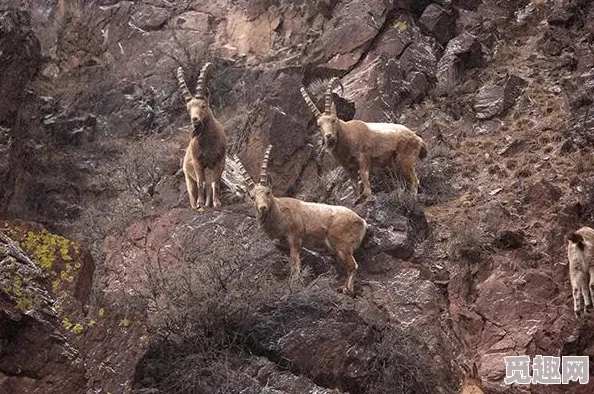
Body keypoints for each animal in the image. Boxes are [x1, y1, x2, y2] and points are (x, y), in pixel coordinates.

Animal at [175, 62, 225, 208]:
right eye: (188, 108)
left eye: (203, 105)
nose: (195, 119)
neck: (208, 143)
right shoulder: (198, 163)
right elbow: (200, 183)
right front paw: (200, 203)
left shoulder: (219, 162)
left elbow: (216, 183)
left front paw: (217, 203)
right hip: (188, 180)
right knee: (195, 189)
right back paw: (197, 204)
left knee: (210, 186)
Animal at [232, 145, 366, 292]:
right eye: (252, 197)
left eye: (268, 192)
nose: (262, 208)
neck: (280, 214)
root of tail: (362, 222)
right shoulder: (281, 242)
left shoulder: (295, 237)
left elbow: (295, 263)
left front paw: (294, 283)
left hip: (343, 246)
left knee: (354, 266)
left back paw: (348, 289)